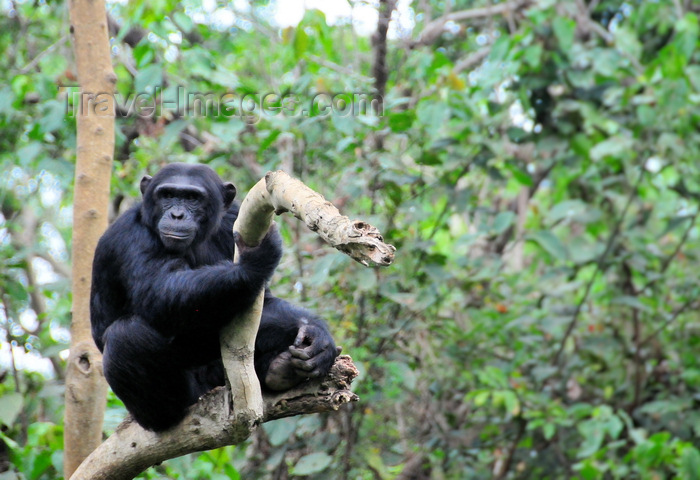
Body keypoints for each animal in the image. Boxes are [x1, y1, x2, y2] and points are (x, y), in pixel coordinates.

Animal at [89, 163, 340, 430]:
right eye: (167, 195)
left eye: (192, 198)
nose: (177, 214)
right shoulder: (130, 236)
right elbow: (160, 291)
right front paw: (254, 262)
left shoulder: (234, 219)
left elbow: (264, 302)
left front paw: (318, 337)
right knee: (125, 335)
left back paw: (281, 369)